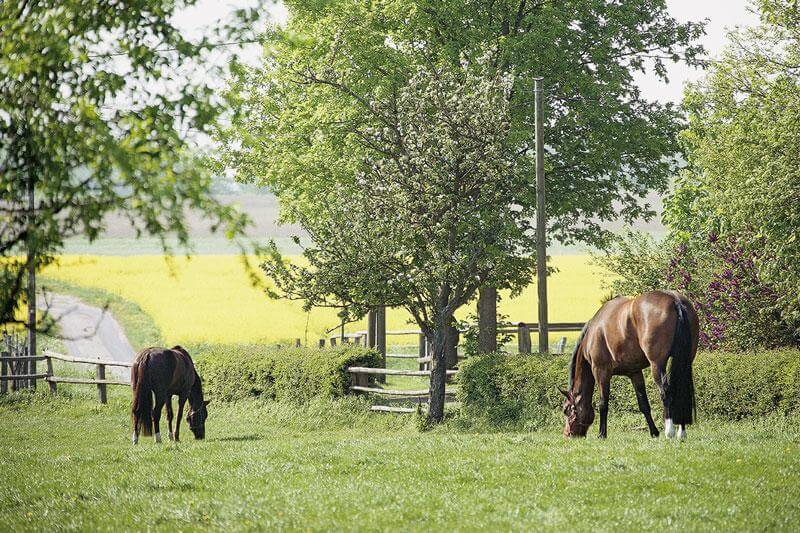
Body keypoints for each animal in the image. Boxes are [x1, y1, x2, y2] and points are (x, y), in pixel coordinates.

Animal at [560, 290, 696, 436]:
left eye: (566, 410)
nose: (567, 434)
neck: (592, 333)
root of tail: (674, 300)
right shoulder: (635, 373)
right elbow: (643, 404)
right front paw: (654, 432)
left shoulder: (600, 371)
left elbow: (603, 403)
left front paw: (602, 434)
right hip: (685, 361)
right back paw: (681, 433)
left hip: (657, 365)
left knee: (666, 393)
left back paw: (669, 432)